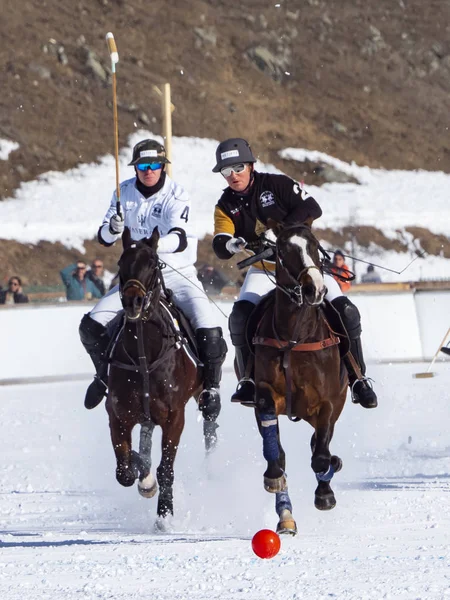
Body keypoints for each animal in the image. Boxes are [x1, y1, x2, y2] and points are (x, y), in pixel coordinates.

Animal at [106, 227, 208, 524]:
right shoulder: (118, 415)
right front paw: (143, 475)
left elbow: (165, 469)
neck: (144, 355)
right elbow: (125, 470)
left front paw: (164, 514)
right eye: (121, 263)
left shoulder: (174, 417)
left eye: (153, 263)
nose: (133, 302)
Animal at [251, 220, 346, 536]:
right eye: (282, 250)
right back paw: (286, 516)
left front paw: (325, 491)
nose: (315, 288)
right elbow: (276, 453)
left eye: (315, 246)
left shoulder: (327, 403)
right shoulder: (265, 393)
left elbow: (320, 455)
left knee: (319, 445)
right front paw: (273, 476)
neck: (295, 336)